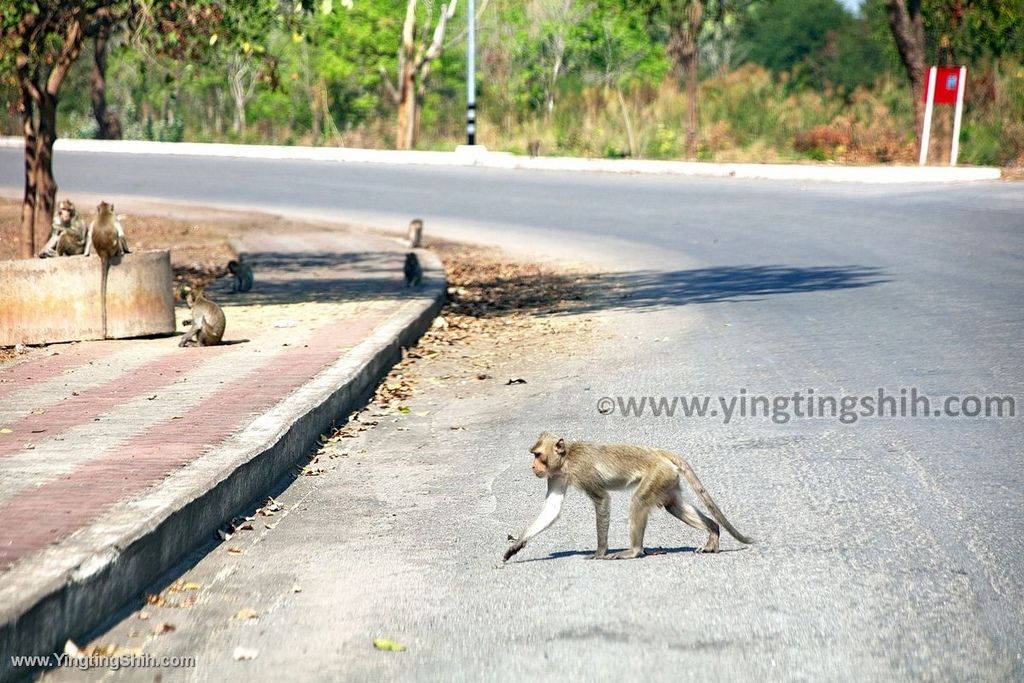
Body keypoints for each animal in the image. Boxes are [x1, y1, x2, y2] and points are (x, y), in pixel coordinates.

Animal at [503, 436, 753, 565]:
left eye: (537, 455)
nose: (532, 466)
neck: (567, 459)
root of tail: (659, 452)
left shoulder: (582, 472)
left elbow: (602, 500)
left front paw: (599, 552)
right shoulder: (556, 476)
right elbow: (552, 510)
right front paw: (516, 546)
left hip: (657, 473)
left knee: (639, 502)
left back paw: (634, 550)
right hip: (667, 478)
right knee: (672, 504)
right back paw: (713, 531)